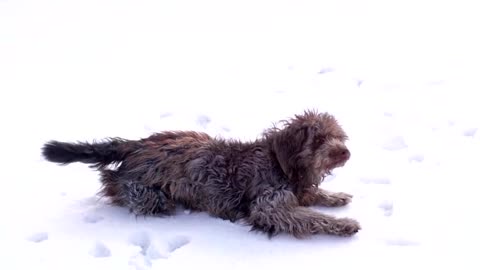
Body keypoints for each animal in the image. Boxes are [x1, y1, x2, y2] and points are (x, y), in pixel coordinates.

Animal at [42, 109, 360, 238]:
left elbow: (314, 196)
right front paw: (344, 225)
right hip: (146, 193)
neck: (280, 162)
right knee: (112, 184)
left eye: (337, 135)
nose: (345, 152)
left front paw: (336, 197)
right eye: (318, 139)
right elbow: (311, 218)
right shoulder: (269, 207)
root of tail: (136, 145)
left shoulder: (298, 190)